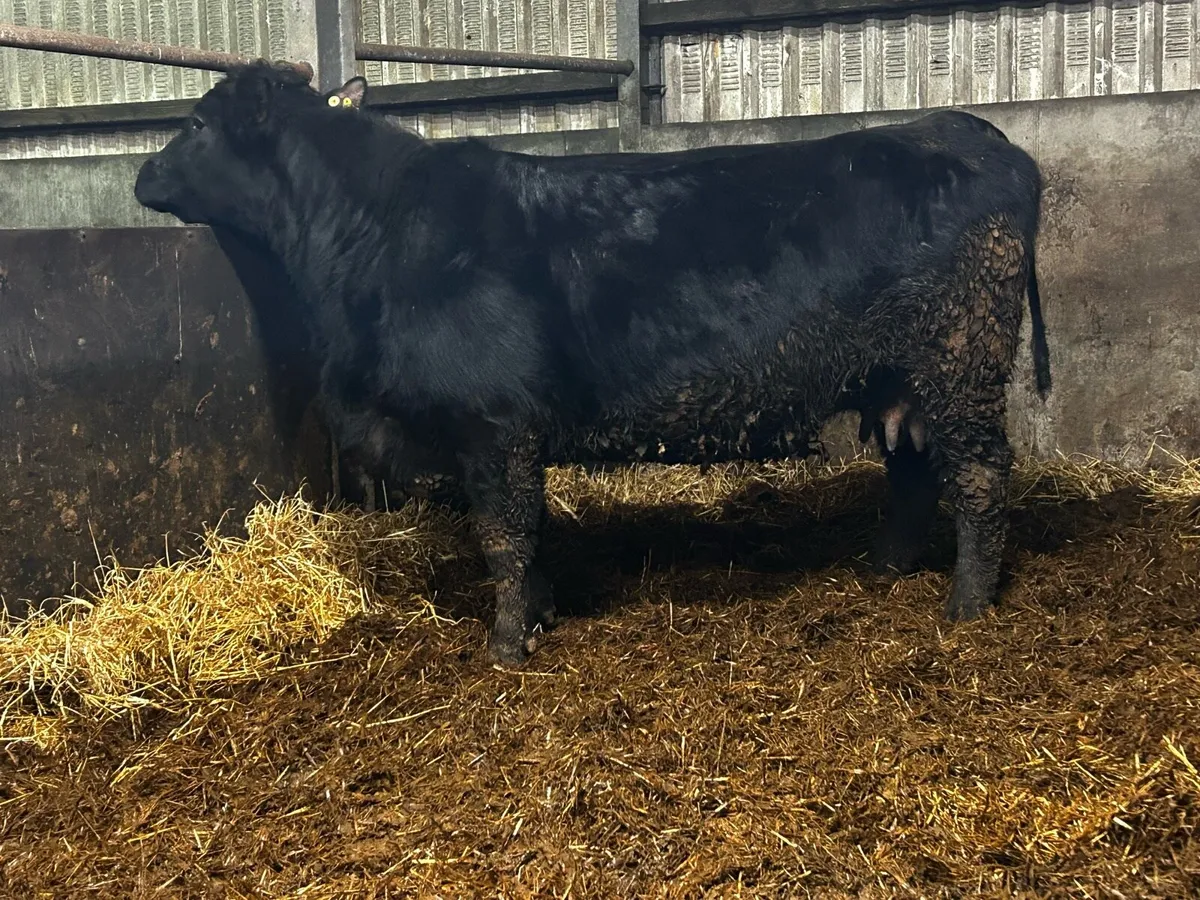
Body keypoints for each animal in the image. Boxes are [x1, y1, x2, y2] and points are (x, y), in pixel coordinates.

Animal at [134, 62, 1051, 665]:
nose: (143, 173)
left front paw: (507, 644)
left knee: (979, 476)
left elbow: (505, 534)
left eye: (195, 124)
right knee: (913, 470)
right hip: (903, 379)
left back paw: (966, 605)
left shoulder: (494, 424)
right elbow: (526, 535)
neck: (369, 231)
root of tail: (962, 128)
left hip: (961, 360)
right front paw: (538, 615)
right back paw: (884, 570)